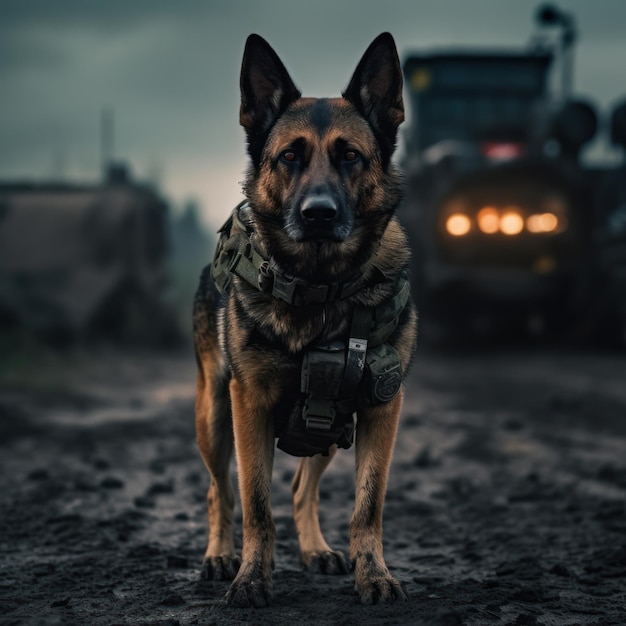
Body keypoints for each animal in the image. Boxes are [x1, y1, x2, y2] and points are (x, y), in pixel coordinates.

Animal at [193, 30, 416, 604]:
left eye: (351, 157)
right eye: (290, 156)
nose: (318, 214)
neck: (321, 287)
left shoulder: (382, 408)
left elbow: (368, 505)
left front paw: (373, 574)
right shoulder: (248, 405)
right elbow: (255, 503)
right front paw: (252, 578)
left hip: (328, 426)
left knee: (300, 489)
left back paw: (316, 549)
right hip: (213, 415)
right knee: (219, 491)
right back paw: (219, 555)